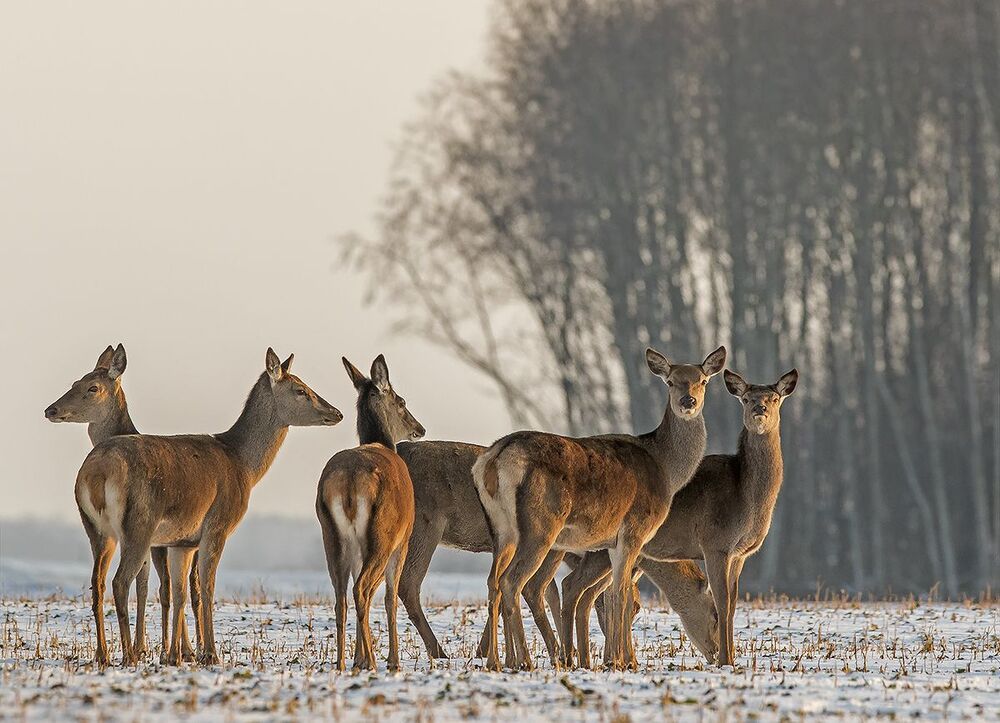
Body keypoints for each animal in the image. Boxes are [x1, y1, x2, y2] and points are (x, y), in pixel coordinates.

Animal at [45, 344, 202, 663]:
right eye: (74, 382)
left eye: (92, 387)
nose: (51, 410)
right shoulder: (151, 541)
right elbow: (148, 586)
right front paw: (148, 648)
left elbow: (149, 586)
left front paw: (151, 647)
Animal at [73, 348, 342, 666]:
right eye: (300, 389)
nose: (336, 413)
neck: (244, 467)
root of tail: (96, 473)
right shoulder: (217, 526)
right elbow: (207, 587)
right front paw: (210, 653)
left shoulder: (181, 541)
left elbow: (179, 591)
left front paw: (175, 656)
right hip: (138, 525)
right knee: (120, 581)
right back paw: (129, 655)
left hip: (96, 529)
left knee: (99, 582)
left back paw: (104, 654)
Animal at [316, 355, 425, 672]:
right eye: (401, 401)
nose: (420, 428)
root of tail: (349, 480)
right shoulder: (404, 540)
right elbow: (390, 597)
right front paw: (391, 660)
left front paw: (359, 657)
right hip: (383, 534)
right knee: (363, 589)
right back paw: (374, 662)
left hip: (332, 535)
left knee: (341, 595)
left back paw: (342, 663)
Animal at [473, 345, 727, 671]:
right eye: (670, 381)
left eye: (703, 380)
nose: (688, 402)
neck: (667, 470)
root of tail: (493, 459)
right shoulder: (634, 530)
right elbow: (620, 595)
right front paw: (623, 661)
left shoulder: (612, 542)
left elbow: (615, 596)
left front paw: (617, 659)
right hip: (540, 526)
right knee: (512, 581)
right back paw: (526, 662)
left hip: (501, 529)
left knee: (493, 581)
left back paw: (496, 661)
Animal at [560, 368, 798, 668]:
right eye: (745, 399)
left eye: (775, 398)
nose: (760, 409)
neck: (746, 497)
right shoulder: (715, 543)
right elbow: (723, 600)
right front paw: (726, 660)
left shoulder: (740, 554)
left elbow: (733, 604)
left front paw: (731, 657)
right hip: (601, 549)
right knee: (574, 587)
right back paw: (576, 659)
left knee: (588, 593)